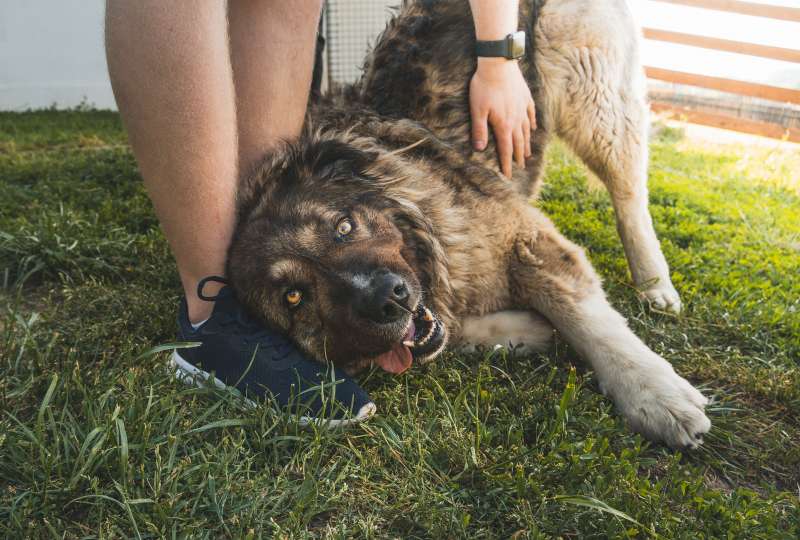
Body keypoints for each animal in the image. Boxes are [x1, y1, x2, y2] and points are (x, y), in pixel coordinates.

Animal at [226, 0, 710, 448]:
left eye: (343, 227)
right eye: (294, 297)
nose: (389, 299)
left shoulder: (528, 241)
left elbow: (590, 323)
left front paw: (656, 395)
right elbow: (460, 328)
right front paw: (524, 329)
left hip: (588, 86)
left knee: (629, 193)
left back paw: (654, 283)